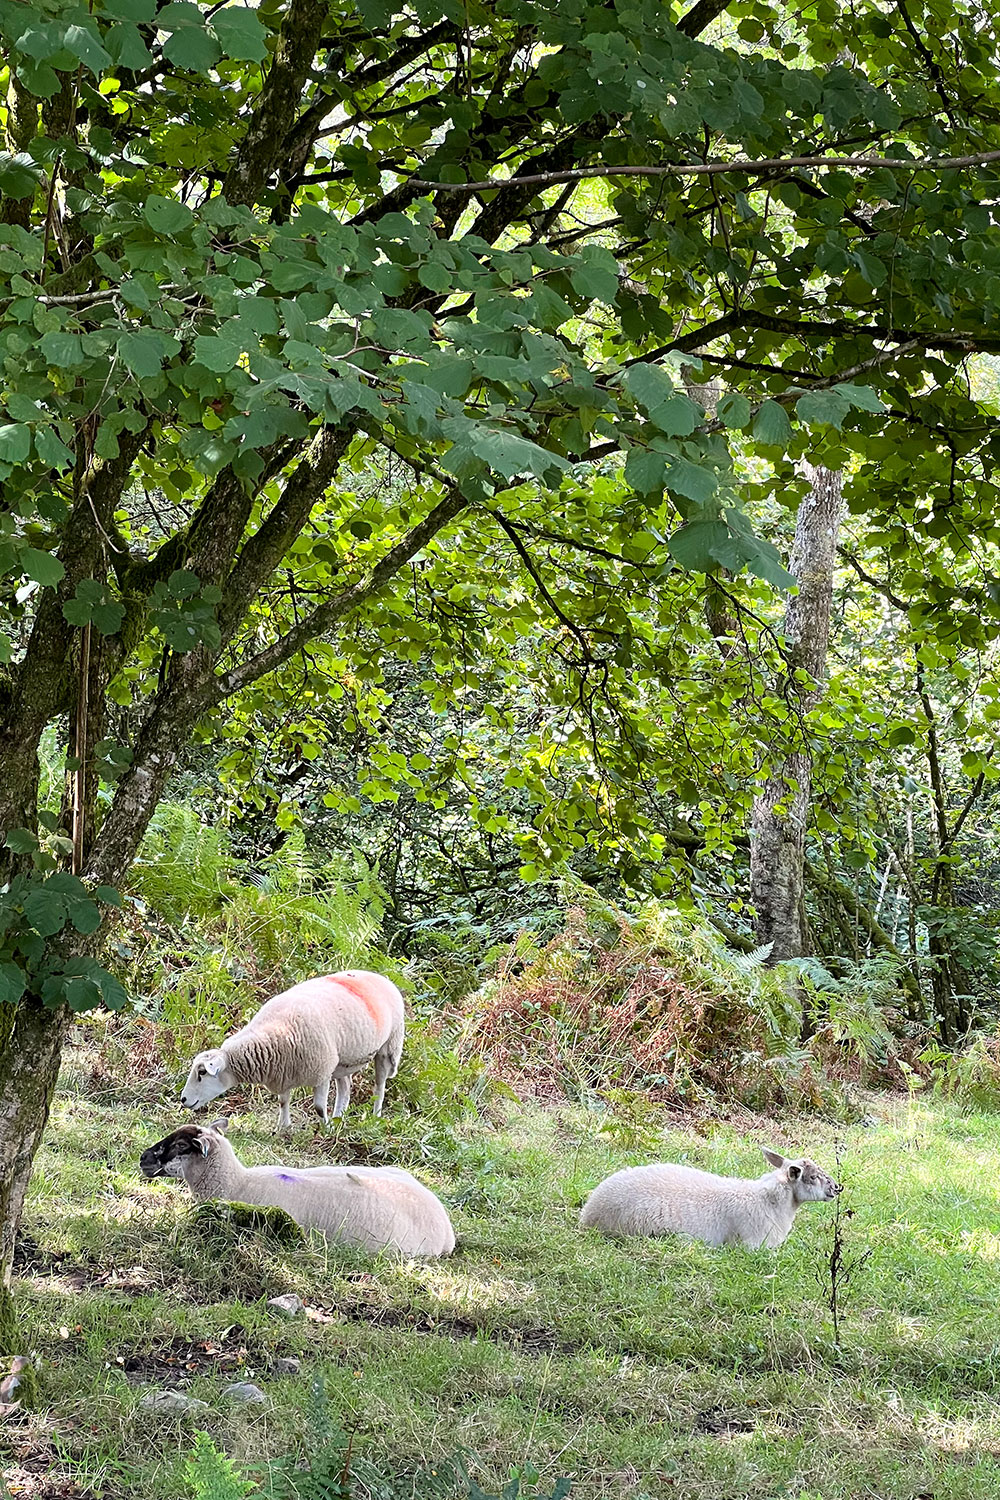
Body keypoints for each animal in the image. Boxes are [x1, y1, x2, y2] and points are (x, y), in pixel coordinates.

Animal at [180, 970, 405, 1131]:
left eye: (202, 1072)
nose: (183, 1100)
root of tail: (380, 976)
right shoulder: (283, 1071)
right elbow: (283, 1101)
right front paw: (283, 1127)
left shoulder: (322, 1071)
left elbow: (318, 1107)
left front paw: (325, 1129)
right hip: (342, 1060)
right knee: (346, 1087)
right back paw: (338, 1117)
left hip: (388, 1048)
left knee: (379, 1086)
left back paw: (375, 1116)